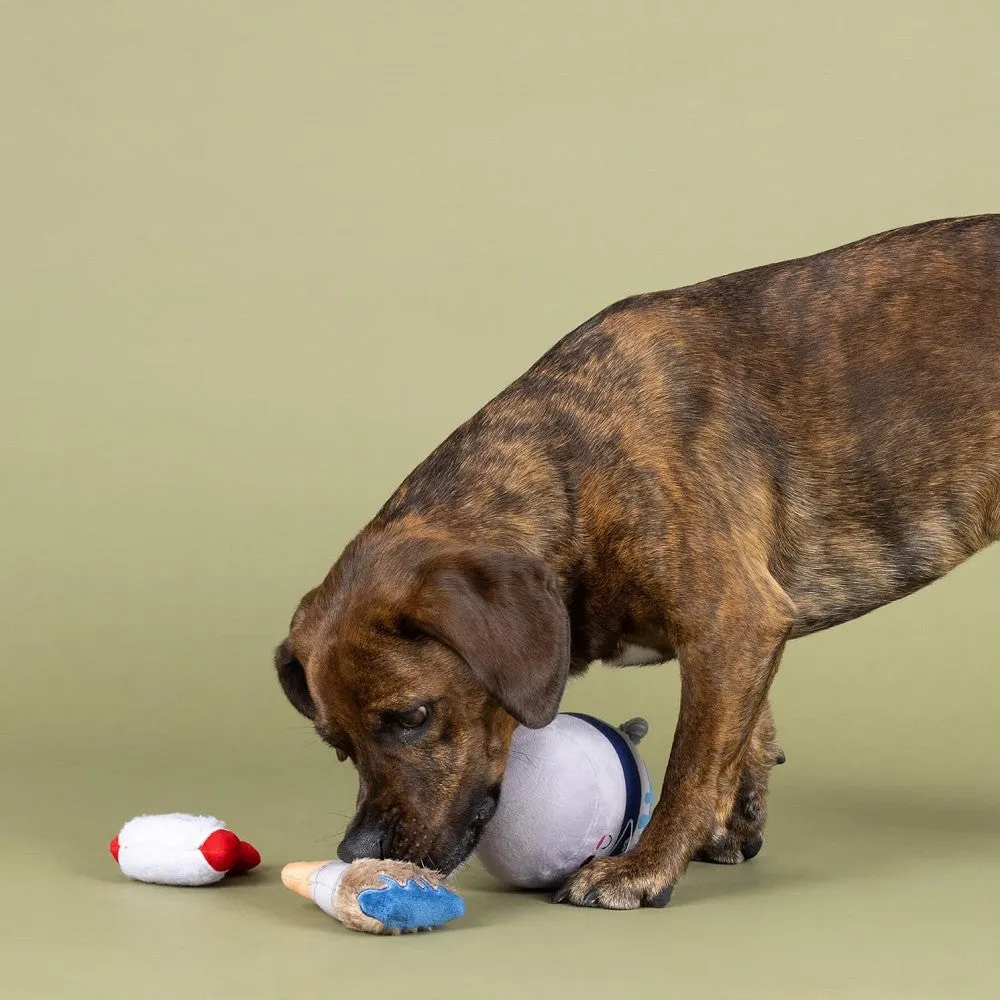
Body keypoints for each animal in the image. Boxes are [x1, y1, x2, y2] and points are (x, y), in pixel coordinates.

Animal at [274, 215, 1000, 912]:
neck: (571, 467)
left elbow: (689, 767)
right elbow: (742, 737)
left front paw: (644, 869)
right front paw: (734, 821)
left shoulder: (733, 623)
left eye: (413, 717)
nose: (355, 851)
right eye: (337, 745)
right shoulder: (746, 638)